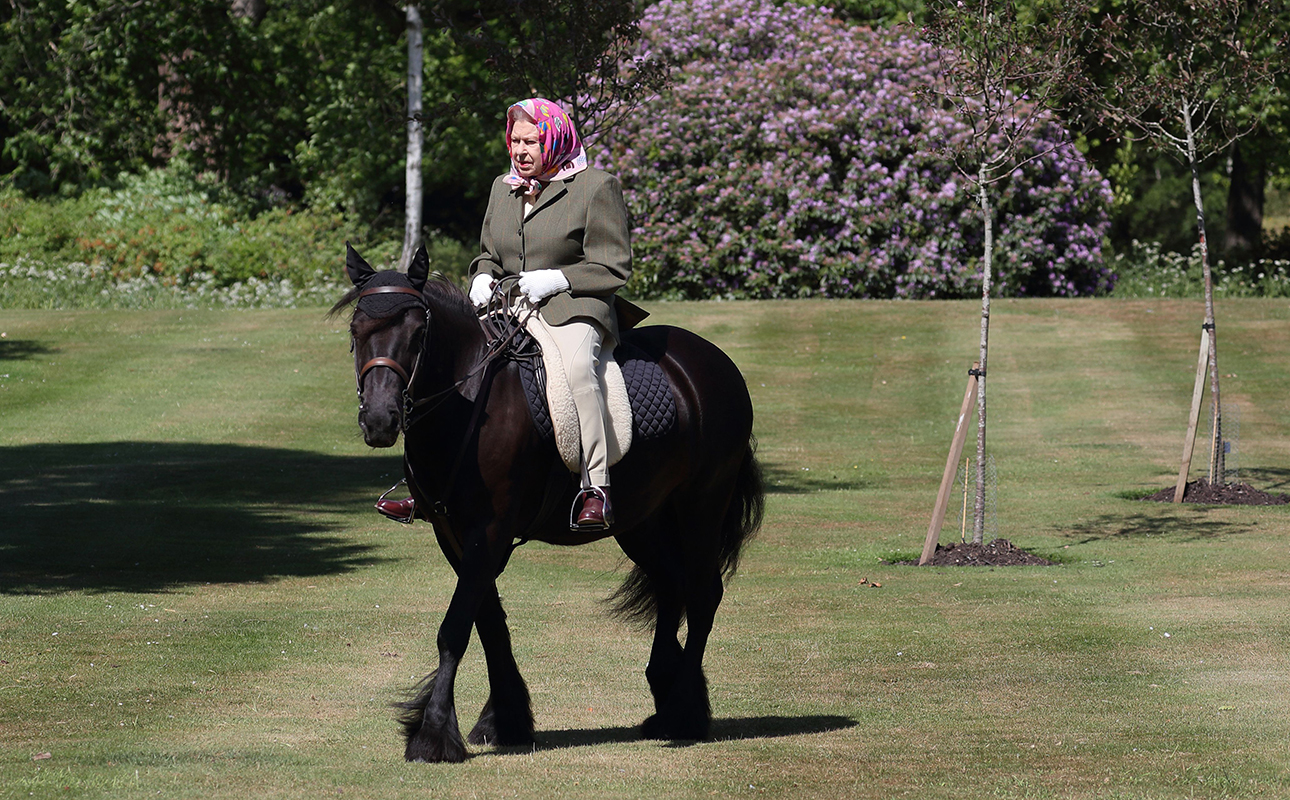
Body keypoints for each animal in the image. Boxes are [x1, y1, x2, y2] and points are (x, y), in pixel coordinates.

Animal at [335, 243, 763, 763]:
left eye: (418, 333)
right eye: (356, 331)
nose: (380, 420)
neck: (469, 400)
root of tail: (713, 362)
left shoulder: (490, 530)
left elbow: (455, 628)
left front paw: (433, 734)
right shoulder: (453, 533)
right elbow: (488, 623)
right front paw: (504, 720)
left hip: (701, 505)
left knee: (702, 594)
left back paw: (684, 712)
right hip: (641, 520)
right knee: (671, 585)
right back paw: (666, 695)